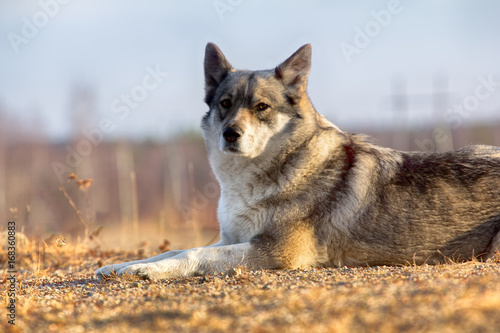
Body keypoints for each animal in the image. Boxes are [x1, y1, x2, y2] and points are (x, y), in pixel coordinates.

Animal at [95, 42, 498, 280]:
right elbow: (176, 247)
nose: (230, 134)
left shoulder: (275, 251)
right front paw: (121, 266)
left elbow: (191, 253)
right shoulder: (231, 237)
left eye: (261, 107)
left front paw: (148, 271)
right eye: (225, 104)